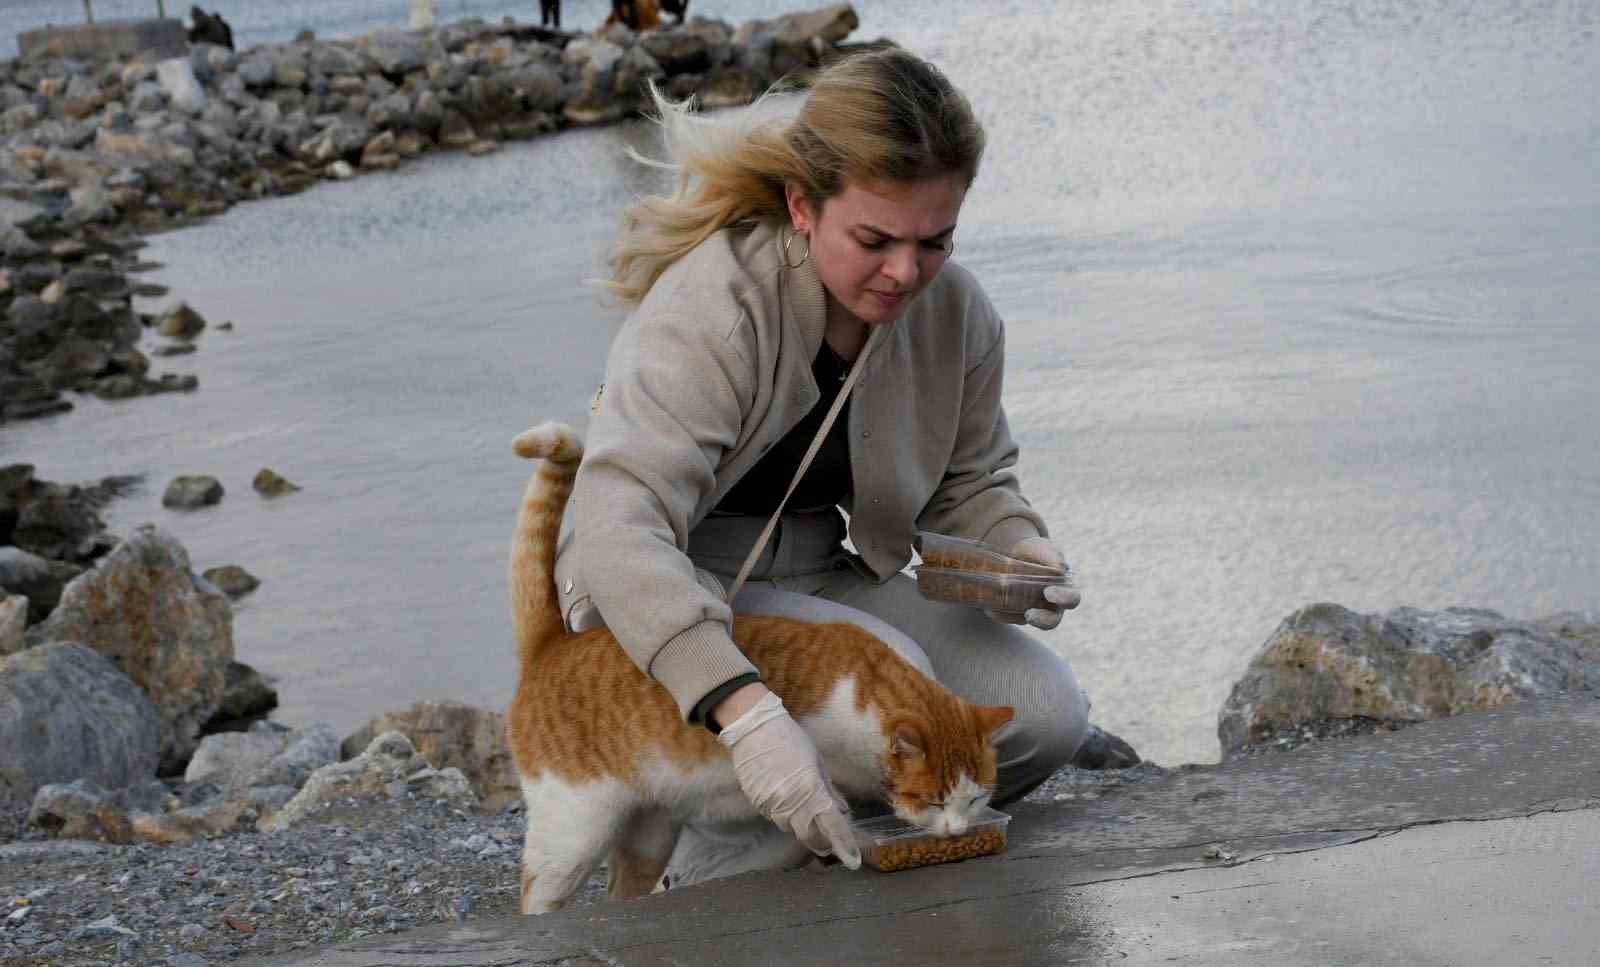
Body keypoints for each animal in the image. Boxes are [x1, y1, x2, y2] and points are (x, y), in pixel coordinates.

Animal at [505, 422, 1011, 915]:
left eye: (976, 798)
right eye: (934, 800)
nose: (957, 831)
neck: (862, 693)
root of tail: (551, 646)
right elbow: (825, 800)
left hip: (649, 832)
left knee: (621, 888)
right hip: (573, 832)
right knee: (537, 895)